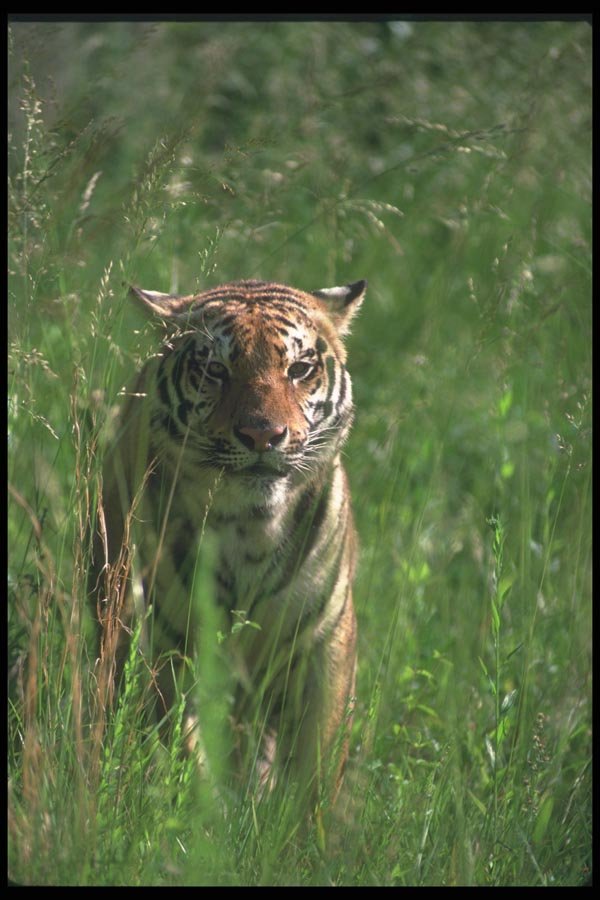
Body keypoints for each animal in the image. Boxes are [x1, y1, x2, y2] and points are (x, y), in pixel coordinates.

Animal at [91, 277, 366, 809]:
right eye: (216, 370)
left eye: (298, 369)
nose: (263, 435)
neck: (252, 527)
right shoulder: (165, 643)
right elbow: (178, 743)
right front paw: (207, 815)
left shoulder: (324, 642)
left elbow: (317, 772)